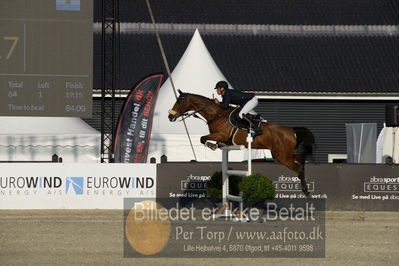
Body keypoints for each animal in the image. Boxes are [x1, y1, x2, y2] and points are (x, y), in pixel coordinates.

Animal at [169, 91, 316, 197]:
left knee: (298, 168)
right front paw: (217, 145)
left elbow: (202, 138)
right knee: (301, 162)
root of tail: (291, 130)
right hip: (287, 154)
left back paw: (306, 191)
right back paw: (307, 187)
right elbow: (205, 139)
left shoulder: (220, 134)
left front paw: (213, 145)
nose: (170, 116)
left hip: (282, 156)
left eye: (179, 101)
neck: (216, 114)